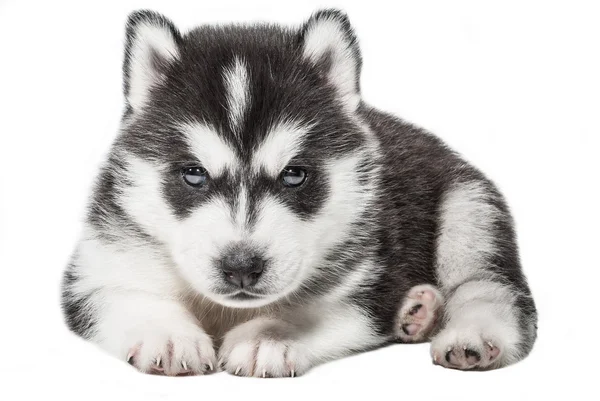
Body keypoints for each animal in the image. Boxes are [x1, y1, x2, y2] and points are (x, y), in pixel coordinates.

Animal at [62, 10, 540, 378]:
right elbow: (129, 296)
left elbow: (311, 312)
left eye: (294, 175)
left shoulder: (372, 276)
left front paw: (267, 336)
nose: (241, 267)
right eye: (193, 175)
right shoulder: (98, 266)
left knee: (489, 287)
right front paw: (170, 336)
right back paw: (417, 314)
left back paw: (471, 333)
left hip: (468, 208)